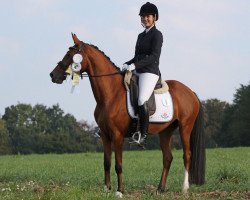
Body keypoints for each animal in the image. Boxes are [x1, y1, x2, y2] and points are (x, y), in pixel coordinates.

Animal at [49, 34, 205, 197]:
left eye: (69, 55)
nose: (53, 75)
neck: (111, 94)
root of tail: (190, 92)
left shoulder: (117, 135)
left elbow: (118, 164)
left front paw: (119, 191)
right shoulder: (105, 135)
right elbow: (106, 162)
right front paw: (106, 189)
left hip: (185, 127)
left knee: (187, 155)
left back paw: (184, 188)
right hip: (166, 131)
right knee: (167, 157)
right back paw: (160, 189)